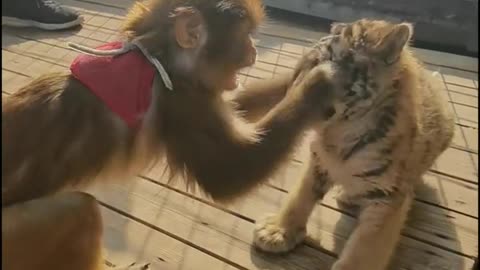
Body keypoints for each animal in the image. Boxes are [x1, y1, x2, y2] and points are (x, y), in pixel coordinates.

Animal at [1, 1, 338, 268]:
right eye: (244, 36)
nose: (254, 50)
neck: (158, 53)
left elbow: (236, 108)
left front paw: (305, 65)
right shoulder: (177, 98)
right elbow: (226, 174)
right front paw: (317, 83)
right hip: (13, 238)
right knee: (79, 211)